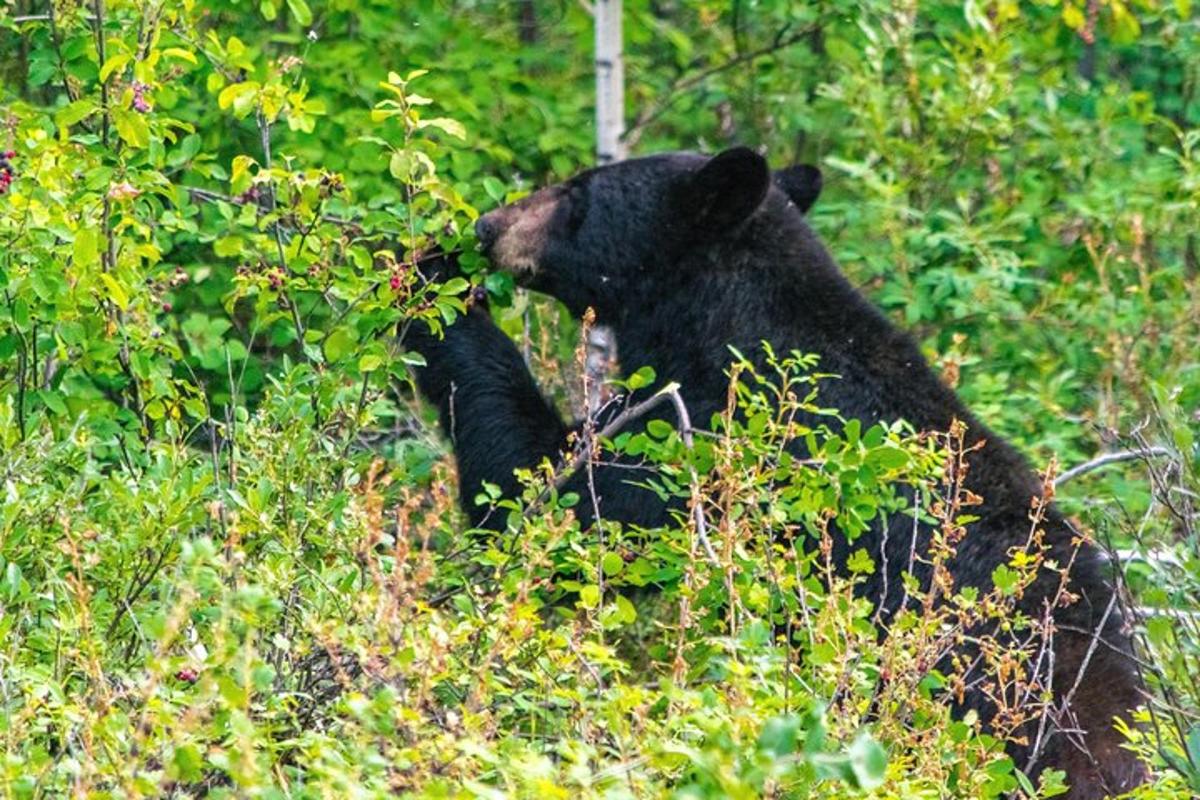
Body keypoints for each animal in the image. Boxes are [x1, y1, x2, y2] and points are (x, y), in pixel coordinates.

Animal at [410, 146, 1142, 796]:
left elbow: (554, 503)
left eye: (578, 194)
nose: (487, 225)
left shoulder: (719, 448)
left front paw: (430, 276)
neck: (730, 332)